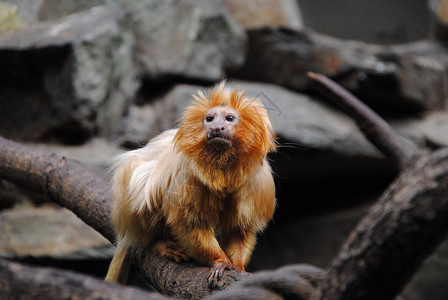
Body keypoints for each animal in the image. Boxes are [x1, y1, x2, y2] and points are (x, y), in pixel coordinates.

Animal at [105, 81, 276, 286]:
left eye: (229, 118)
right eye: (209, 119)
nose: (217, 127)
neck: (224, 168)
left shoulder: (257, 183)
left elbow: (240, 230)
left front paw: (238, 266)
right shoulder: (188, 177)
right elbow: (189, 224)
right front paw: (220, 260)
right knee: (140, 180)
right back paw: (158, 243)